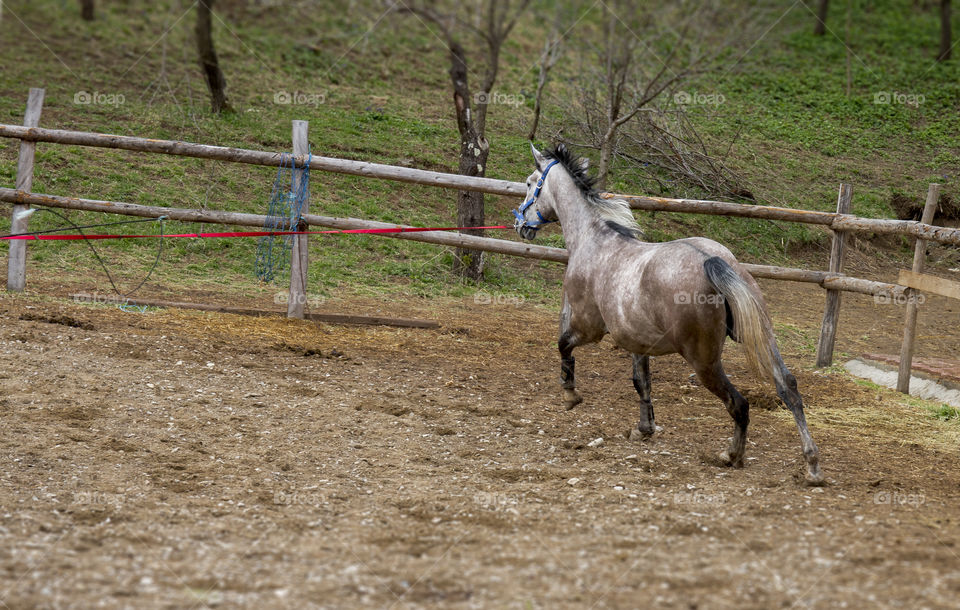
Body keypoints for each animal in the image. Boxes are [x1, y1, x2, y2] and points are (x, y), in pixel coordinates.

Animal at [512, 144, 820, 484]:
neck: (593, 241)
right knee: (788, 386)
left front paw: (570, 396)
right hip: (761, 336)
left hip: (704, 362)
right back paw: (812, 465)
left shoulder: (588, 328)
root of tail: (712, 260)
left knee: (739, 404)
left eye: (529, 183)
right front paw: (644, 429)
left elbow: (563, 346)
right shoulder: (636, 341)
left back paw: (732, 455)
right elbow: (641, 382)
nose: (520, 224)